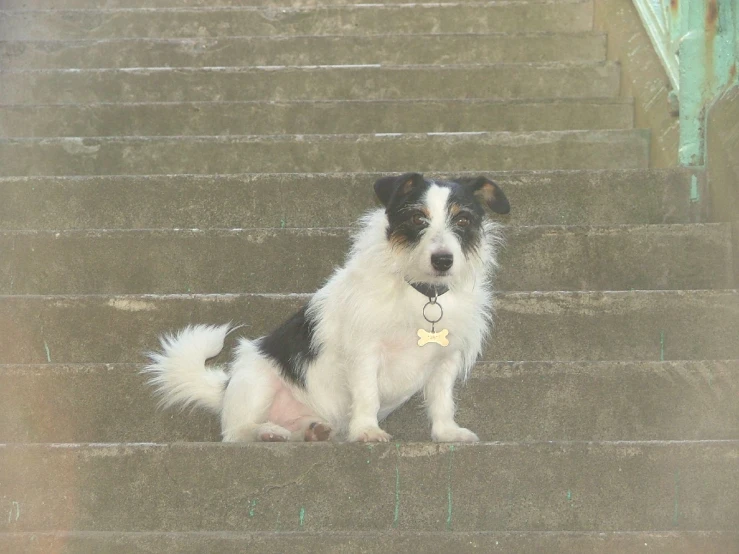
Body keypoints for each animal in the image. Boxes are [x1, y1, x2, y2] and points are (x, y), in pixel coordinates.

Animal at [147, 172, 512, 440]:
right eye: (417, 218)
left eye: (463, 220)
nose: (443, 260)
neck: (422, 292)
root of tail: (225, 387)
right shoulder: (365, 352)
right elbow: (367, 394)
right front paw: (367, 431)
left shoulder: (445, 360)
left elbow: (441, 401)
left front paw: (447, 433)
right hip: (258, 382)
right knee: (235, 432)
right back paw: (265, 431)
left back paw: (312, 430)